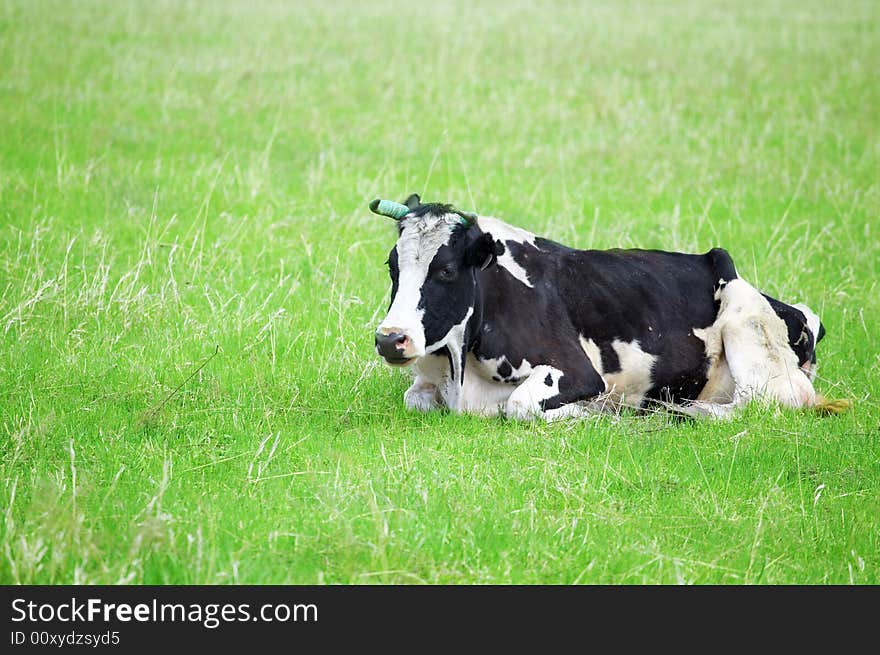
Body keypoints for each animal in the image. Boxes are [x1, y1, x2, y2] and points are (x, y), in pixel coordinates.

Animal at [370, 195, 832, 420]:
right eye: (392, 266)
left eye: (446, 270)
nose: (391, 339)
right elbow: (415, 397)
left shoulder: (576, 372)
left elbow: (519, 406)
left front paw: (593, 413)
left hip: (745, 323)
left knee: (771, 401)